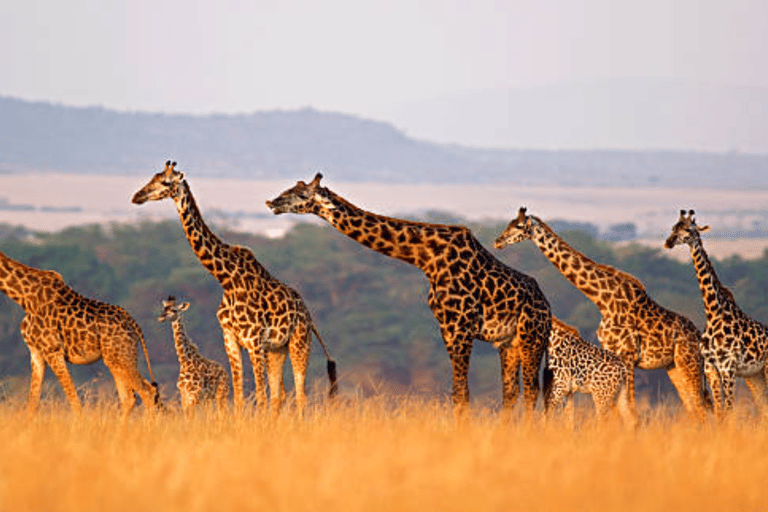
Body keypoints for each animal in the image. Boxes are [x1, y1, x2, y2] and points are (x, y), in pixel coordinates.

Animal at [0, 250, 162, 414]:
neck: (23, 297)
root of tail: (134, 325)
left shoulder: (53, 350)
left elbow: (74, 400)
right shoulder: (36, 352)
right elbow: (32, 403)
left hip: (121, 357)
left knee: (147, 392)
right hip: (118, 359)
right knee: (132, 397)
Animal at [133, 162, 340, 414]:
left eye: (165, 182)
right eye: (153, 177)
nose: (137, 196)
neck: (226, 280)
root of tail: (308, 316)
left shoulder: (253, 341)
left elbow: (259, 396)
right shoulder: (231, 339)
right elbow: (240, 397)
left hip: (299, 342)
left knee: (300, 394)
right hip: (276, 350)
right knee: (279, 395)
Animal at [266, 174, 552, 414]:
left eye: (302, 194)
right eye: (290, 188)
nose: (272, 202)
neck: (427, 258)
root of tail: (547, 308)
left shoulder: (461, 327)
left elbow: (462, 393)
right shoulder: (446, 328)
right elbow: (459, 392)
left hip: (532, 337)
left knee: (531, 390)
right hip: (509, 343)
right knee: (511, 391)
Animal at [496, 206, 712, 422]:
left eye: (519, 226)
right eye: (510, 223)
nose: (498, 241)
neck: (603, 300)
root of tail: (698, 336)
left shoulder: (627, 354)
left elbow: (629, 408)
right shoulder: (612, 351)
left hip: (689, 363)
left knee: (701, 407)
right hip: (673, 366)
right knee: (693, 408)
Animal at [664, 210, 768, 418]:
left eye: (689, 229)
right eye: (673, 227)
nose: (668, 242)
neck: (713, 313)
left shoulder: (728, 368)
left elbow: (728, 410)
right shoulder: (711, 368)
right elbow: (720, 412)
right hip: (756, 374)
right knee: (764, 406)